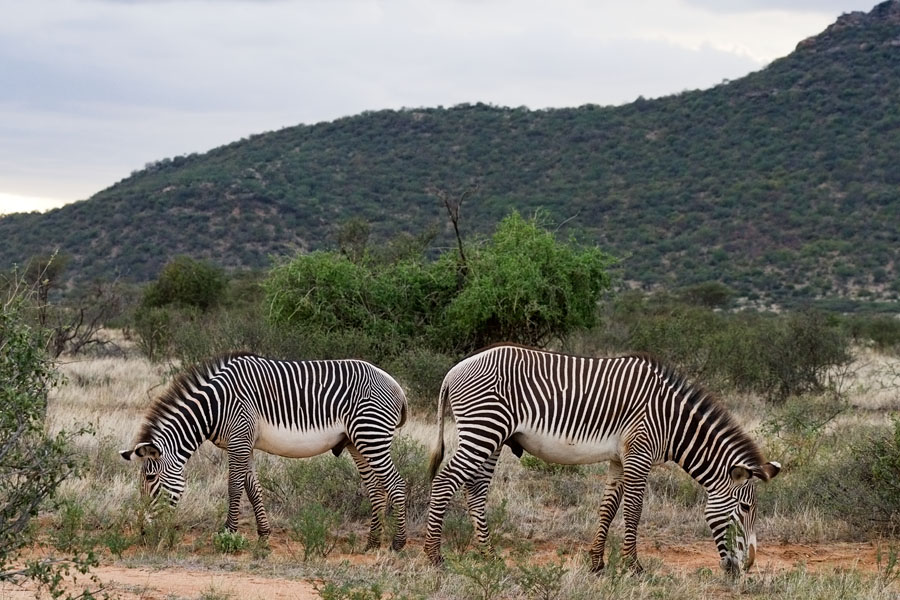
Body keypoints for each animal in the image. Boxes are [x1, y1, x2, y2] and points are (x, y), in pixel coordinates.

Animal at [119, 352, 409, 551]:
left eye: (150, 478)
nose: (143, 532)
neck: (214, 407)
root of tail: (395, 384)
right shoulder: (243, 443)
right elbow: (253, 489)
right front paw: (264, 535)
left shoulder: (239, 440)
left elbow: (234, 488)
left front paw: (228, 533)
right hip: (356, 442)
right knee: (376, 489)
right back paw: (372, 543)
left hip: (371, 435)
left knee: (396, 484)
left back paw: (397, 544)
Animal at [425, 344, 780, 574]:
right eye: (745, 508)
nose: (746, 567)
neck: (671, 421)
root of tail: (454, 370)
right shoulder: (640, 454)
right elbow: (634, 511)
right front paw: (633, 567)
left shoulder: (620, 458)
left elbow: (608, 509)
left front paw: (597, 563)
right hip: (484, 428)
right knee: (445, 482)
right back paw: (434, 557)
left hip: (493, 436)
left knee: (475, 491)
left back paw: (488, 556)